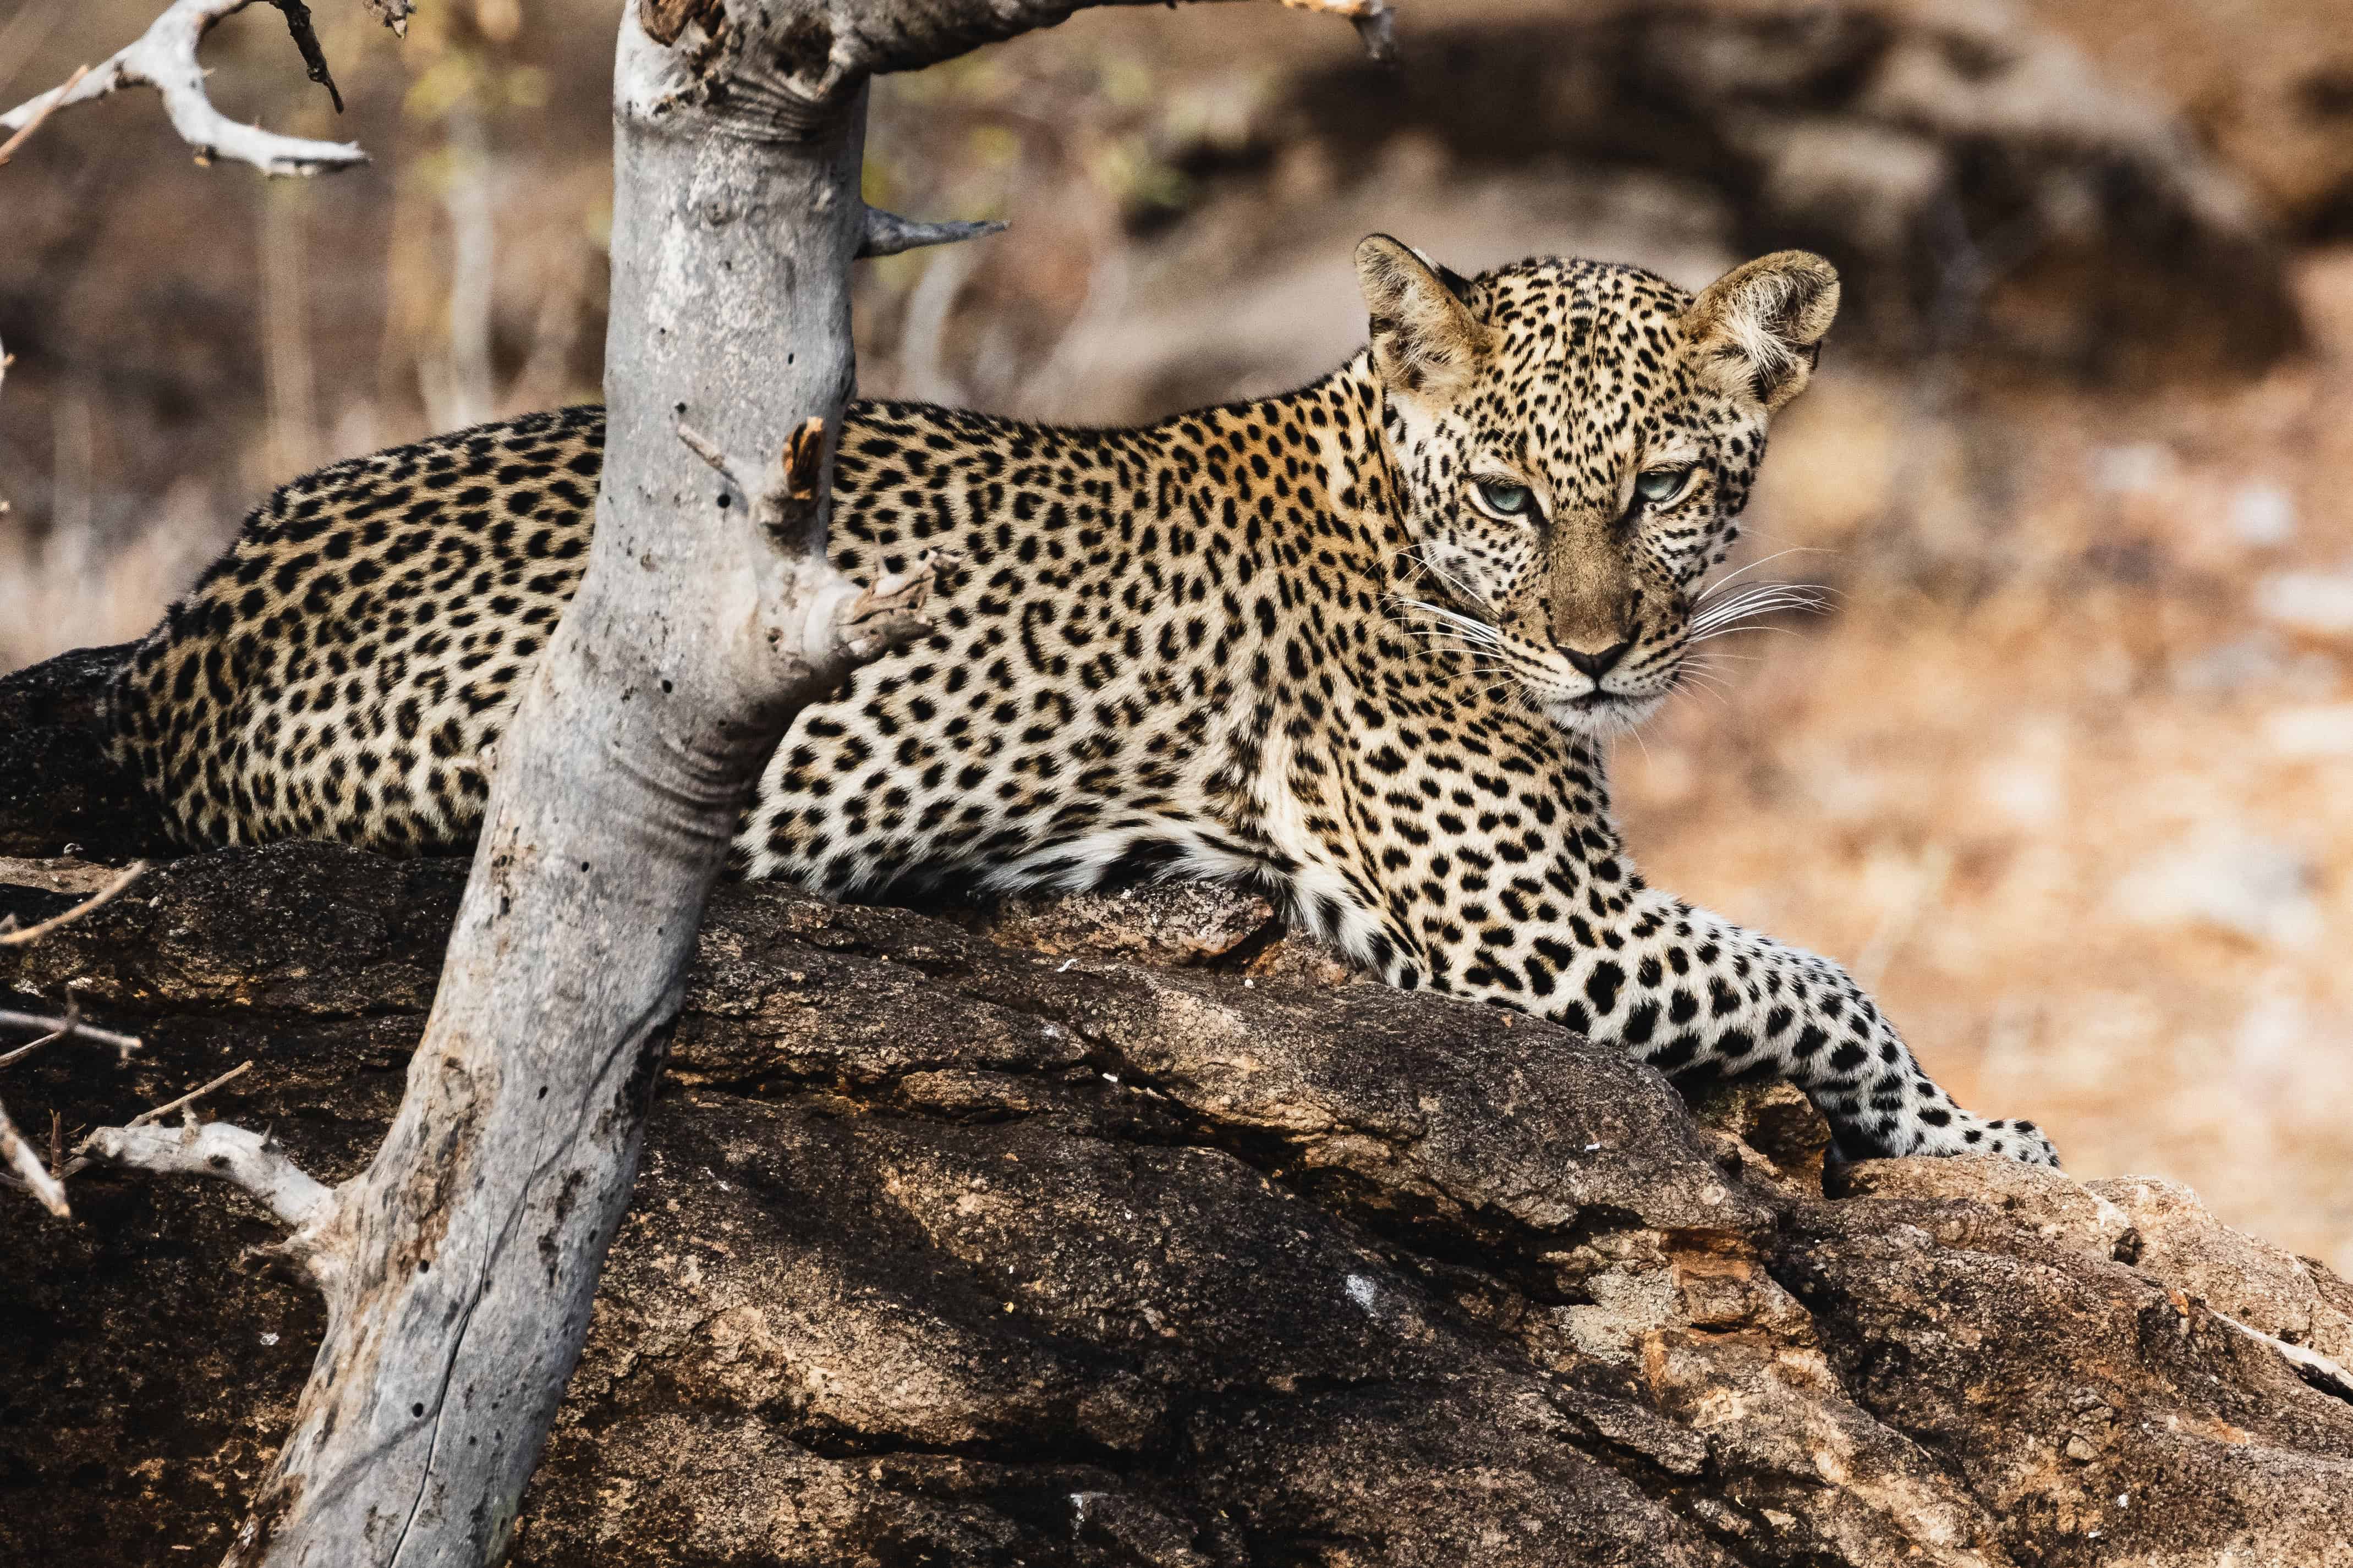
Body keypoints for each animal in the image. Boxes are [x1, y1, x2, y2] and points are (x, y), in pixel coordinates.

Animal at [107, 236, 2057, 1168]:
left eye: (1663, 486)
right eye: (1510, 494)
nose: (1591, 653)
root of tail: (179, 649)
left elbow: (1805, 969)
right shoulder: (1533, 925)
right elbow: (1818, 979)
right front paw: (1988, 1136)